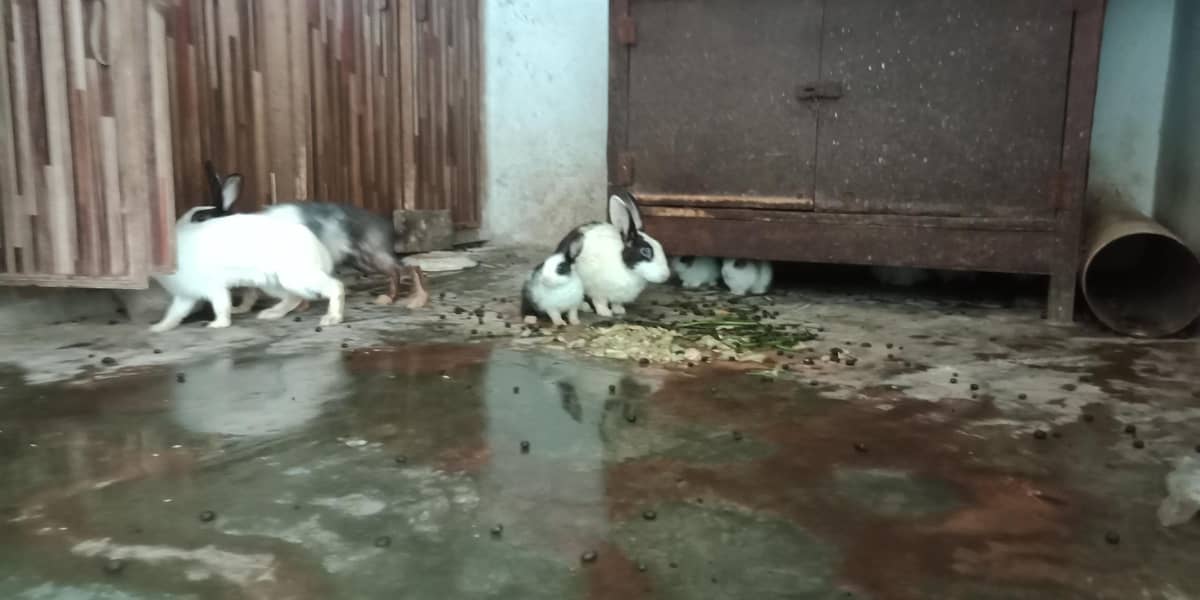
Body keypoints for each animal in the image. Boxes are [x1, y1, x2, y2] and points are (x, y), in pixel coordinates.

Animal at [149, 171, 345, 332]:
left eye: (200, 217)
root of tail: (318, 247)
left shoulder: (213, 287)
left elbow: (221, 305)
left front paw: (218, 324)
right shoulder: (185, 295)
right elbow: (175, 313)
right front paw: (159, 327)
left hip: (297, 277)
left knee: (335, 286)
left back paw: (332, 318)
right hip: (273, 284)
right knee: (293, 298)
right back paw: (271, 314)